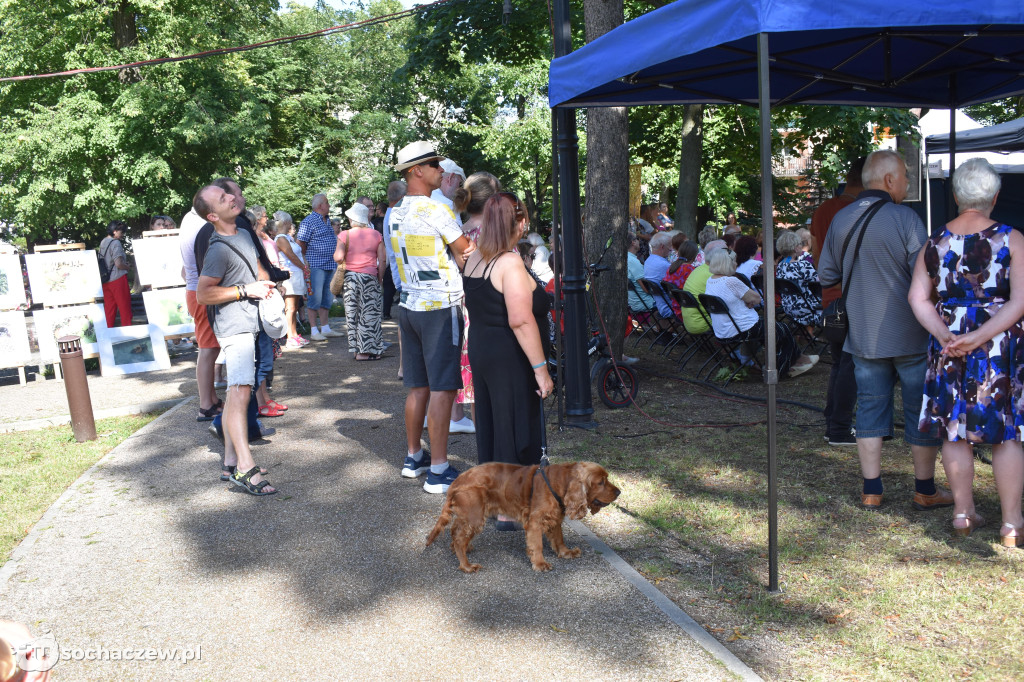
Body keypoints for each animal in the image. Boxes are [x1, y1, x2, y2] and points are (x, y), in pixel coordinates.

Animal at [421, 458, 614, 569]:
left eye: (607, 478)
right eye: (601, 482)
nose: (618, 492)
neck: (559, 482)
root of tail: (456, 481)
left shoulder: (555, 518)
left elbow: (559, 539)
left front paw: (566, 553)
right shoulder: (535, 521)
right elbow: (537, 545)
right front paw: (540, 564)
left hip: (470, 514)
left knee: (456, 532)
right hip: (474, 515)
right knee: (459, 537)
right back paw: (466, 565)